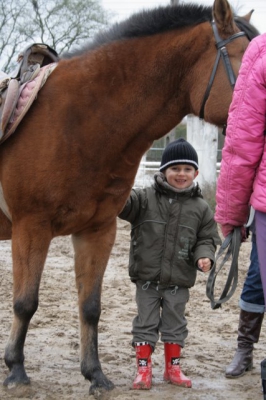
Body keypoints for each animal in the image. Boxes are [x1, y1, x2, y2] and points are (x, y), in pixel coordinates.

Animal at [0, 0, 258, 396]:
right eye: (249, 63)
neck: (78, 119)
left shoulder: (97, 230)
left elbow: (90, 306)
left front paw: (95, 374)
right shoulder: (32, 228)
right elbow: (25, 302)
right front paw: (16, 370)